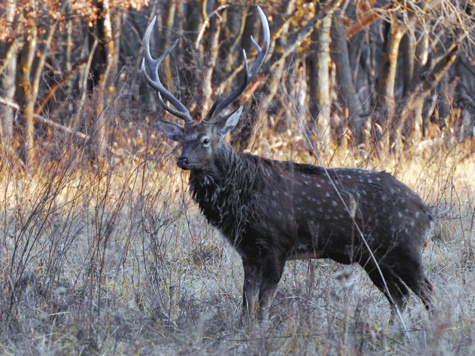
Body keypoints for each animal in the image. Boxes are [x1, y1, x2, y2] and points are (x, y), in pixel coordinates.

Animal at [141, 6, 436, 322]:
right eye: (181, 139)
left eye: (206, 139)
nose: (182, 159)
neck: (241, 202)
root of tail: (427, 212)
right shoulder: (248, 251)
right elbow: (246, 304)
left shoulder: (277, 244)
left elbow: (263, 305)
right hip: (373, 256)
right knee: (399, 296)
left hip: (404, 247)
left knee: (427, 292)